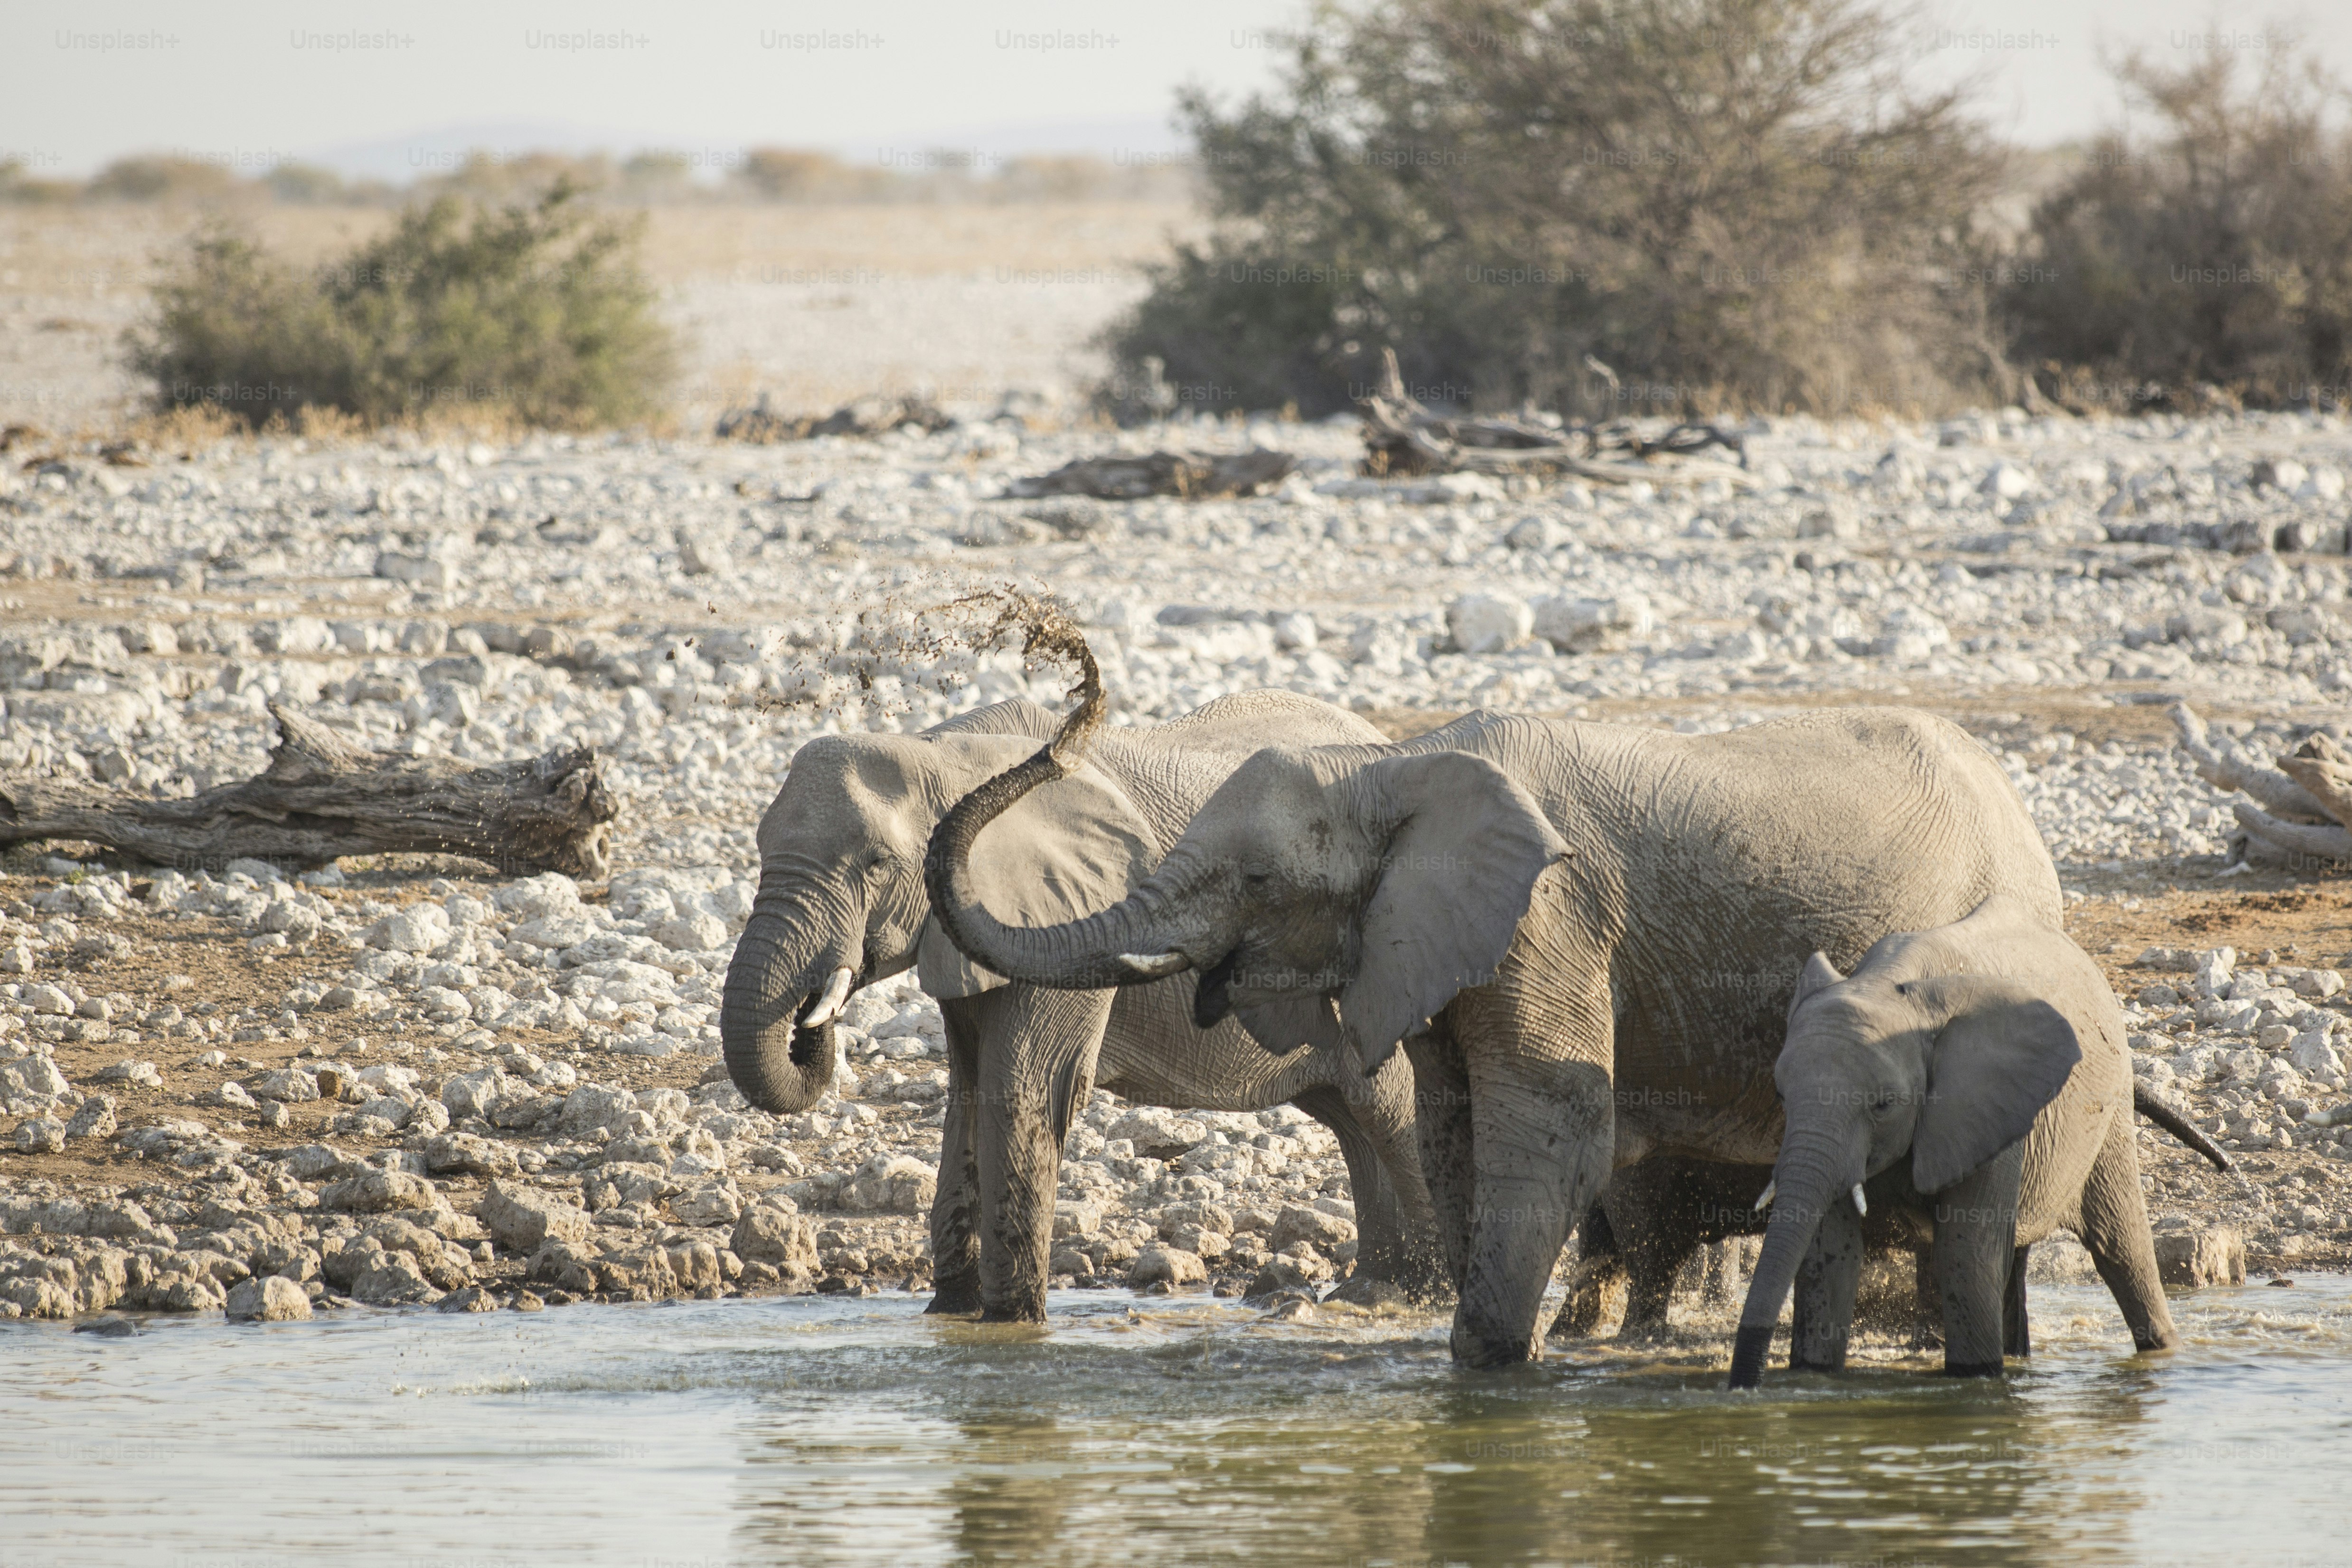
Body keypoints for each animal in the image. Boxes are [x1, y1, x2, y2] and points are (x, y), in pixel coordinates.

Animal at [718, 692, 1442, 1322]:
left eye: (874, 864)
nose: (813, 1015)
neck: (940, 752)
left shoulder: (1058, 907)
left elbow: (1025, 1089)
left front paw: (1009, 1322)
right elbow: (970, 1094)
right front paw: (950, 1314)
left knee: (1386, 1110)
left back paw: (1422, 1296)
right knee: (1352, 1118)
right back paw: (1375, 1291)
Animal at [925, 702, 2070, 1365]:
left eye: (1255, 880)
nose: (1064, 721)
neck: (1392, 764)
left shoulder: (1548, 916)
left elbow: (1552, 1130)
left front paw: (1483, 1369)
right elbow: (1454, 1134)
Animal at [1727, 892, 2236, 1386]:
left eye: (1883, 1104)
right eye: (1781, 1094)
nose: (1742, 1386)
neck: (1893, 989)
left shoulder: (1989, 1101)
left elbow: (1966, 1252)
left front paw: (1975, 1380)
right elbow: (1831, 1252)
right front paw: (1813, 1378)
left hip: (2107, 1112)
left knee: (2122, 1248)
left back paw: (2160, 1352)